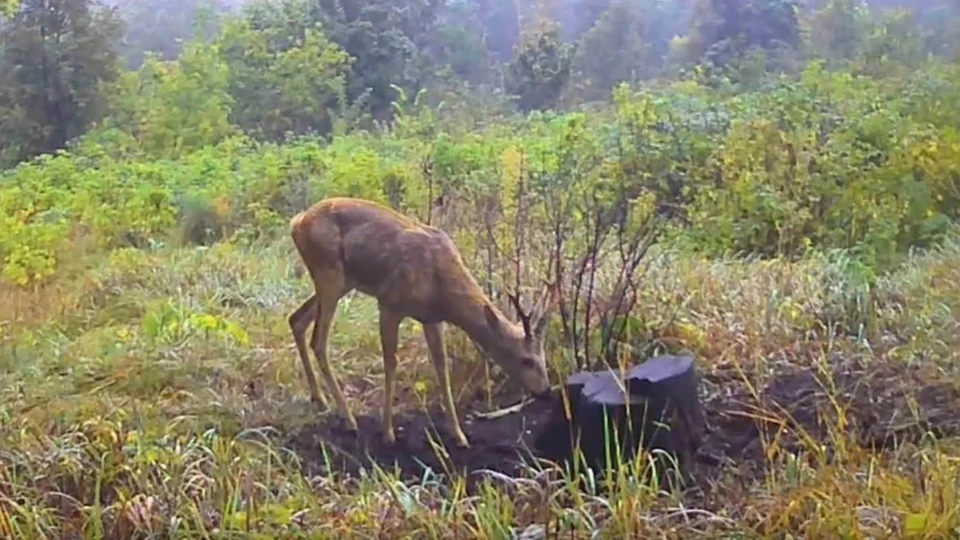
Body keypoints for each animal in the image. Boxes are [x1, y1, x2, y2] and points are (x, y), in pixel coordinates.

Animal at [287, 197, 556, 448]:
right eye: (526, 359)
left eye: (543, 357)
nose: (545, 391)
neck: (441, 287)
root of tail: (297, 222)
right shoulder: (389, 304)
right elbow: (391, 363)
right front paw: (388, 433)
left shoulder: (432, 319)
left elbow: (442, 368)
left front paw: (459, 435)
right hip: (329, 274)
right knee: (318, 340)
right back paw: (348, 418)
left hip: (342, 282)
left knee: (296, 319)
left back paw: (320, 399)